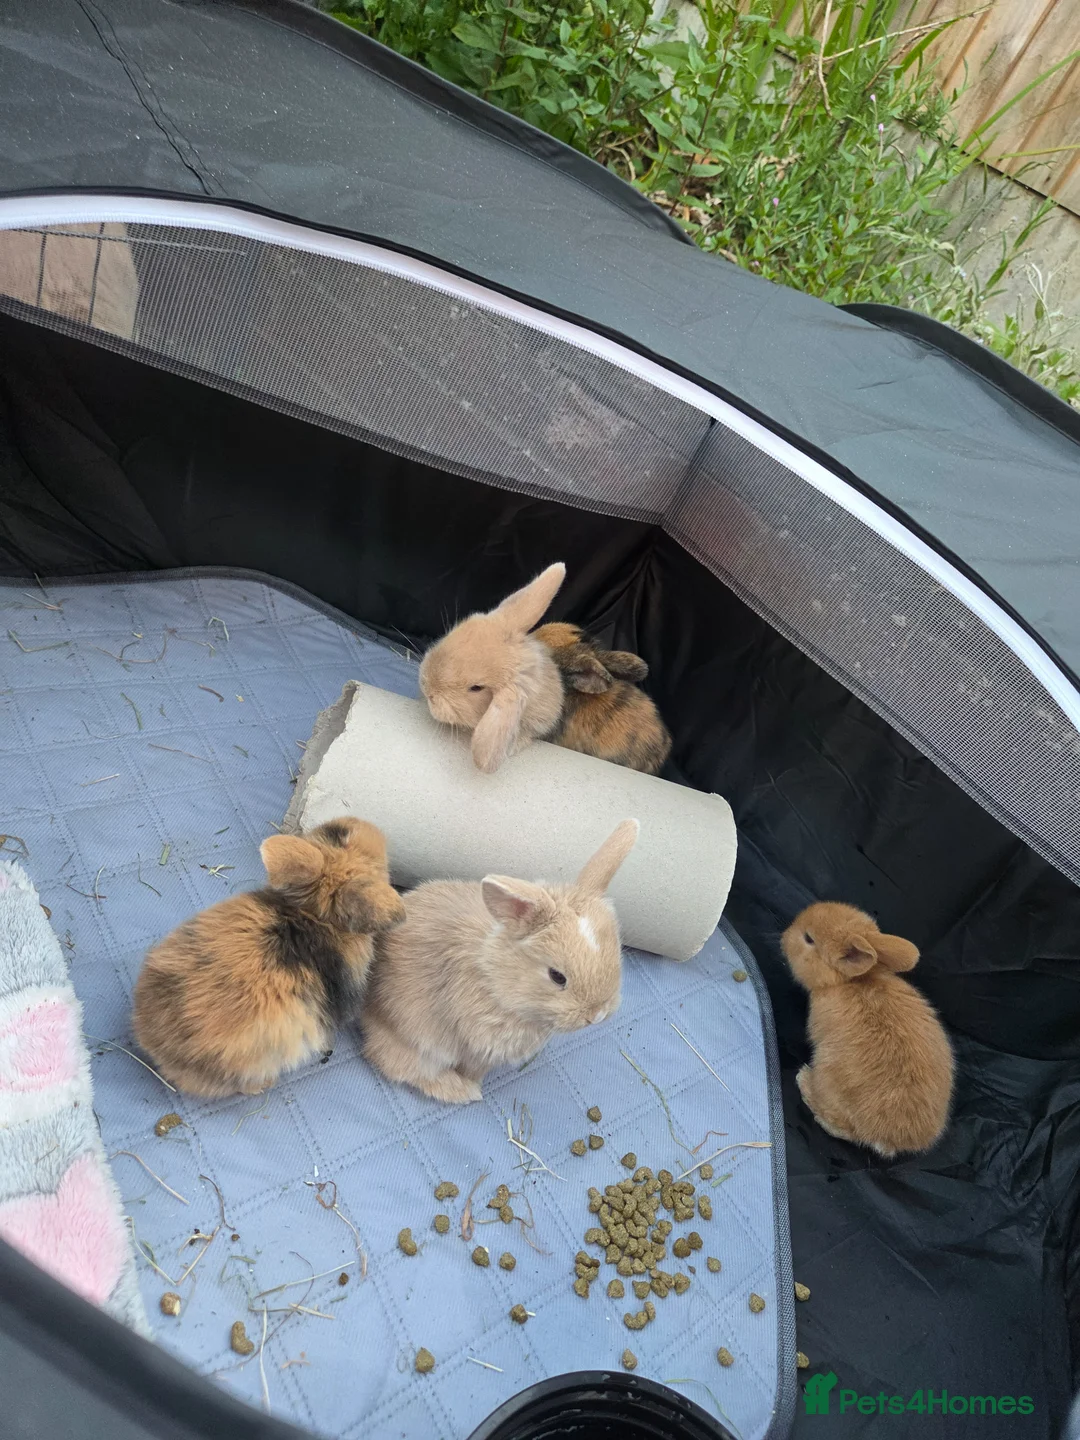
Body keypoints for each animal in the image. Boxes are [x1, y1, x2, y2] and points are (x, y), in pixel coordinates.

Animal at [362, 819, 639, 1103]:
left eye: (616, 956)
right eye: (557, 976)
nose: (597, 1015)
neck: (495, 980)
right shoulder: (477, 1049)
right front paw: (473, 1083)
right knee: (395, 1063)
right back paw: (463, 1091)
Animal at [781, 902, 954, 1159]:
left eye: (808, 938)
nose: (783, 936)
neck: (850, 982)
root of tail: (893, 1141)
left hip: (827, 1074)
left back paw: (805, 1081)